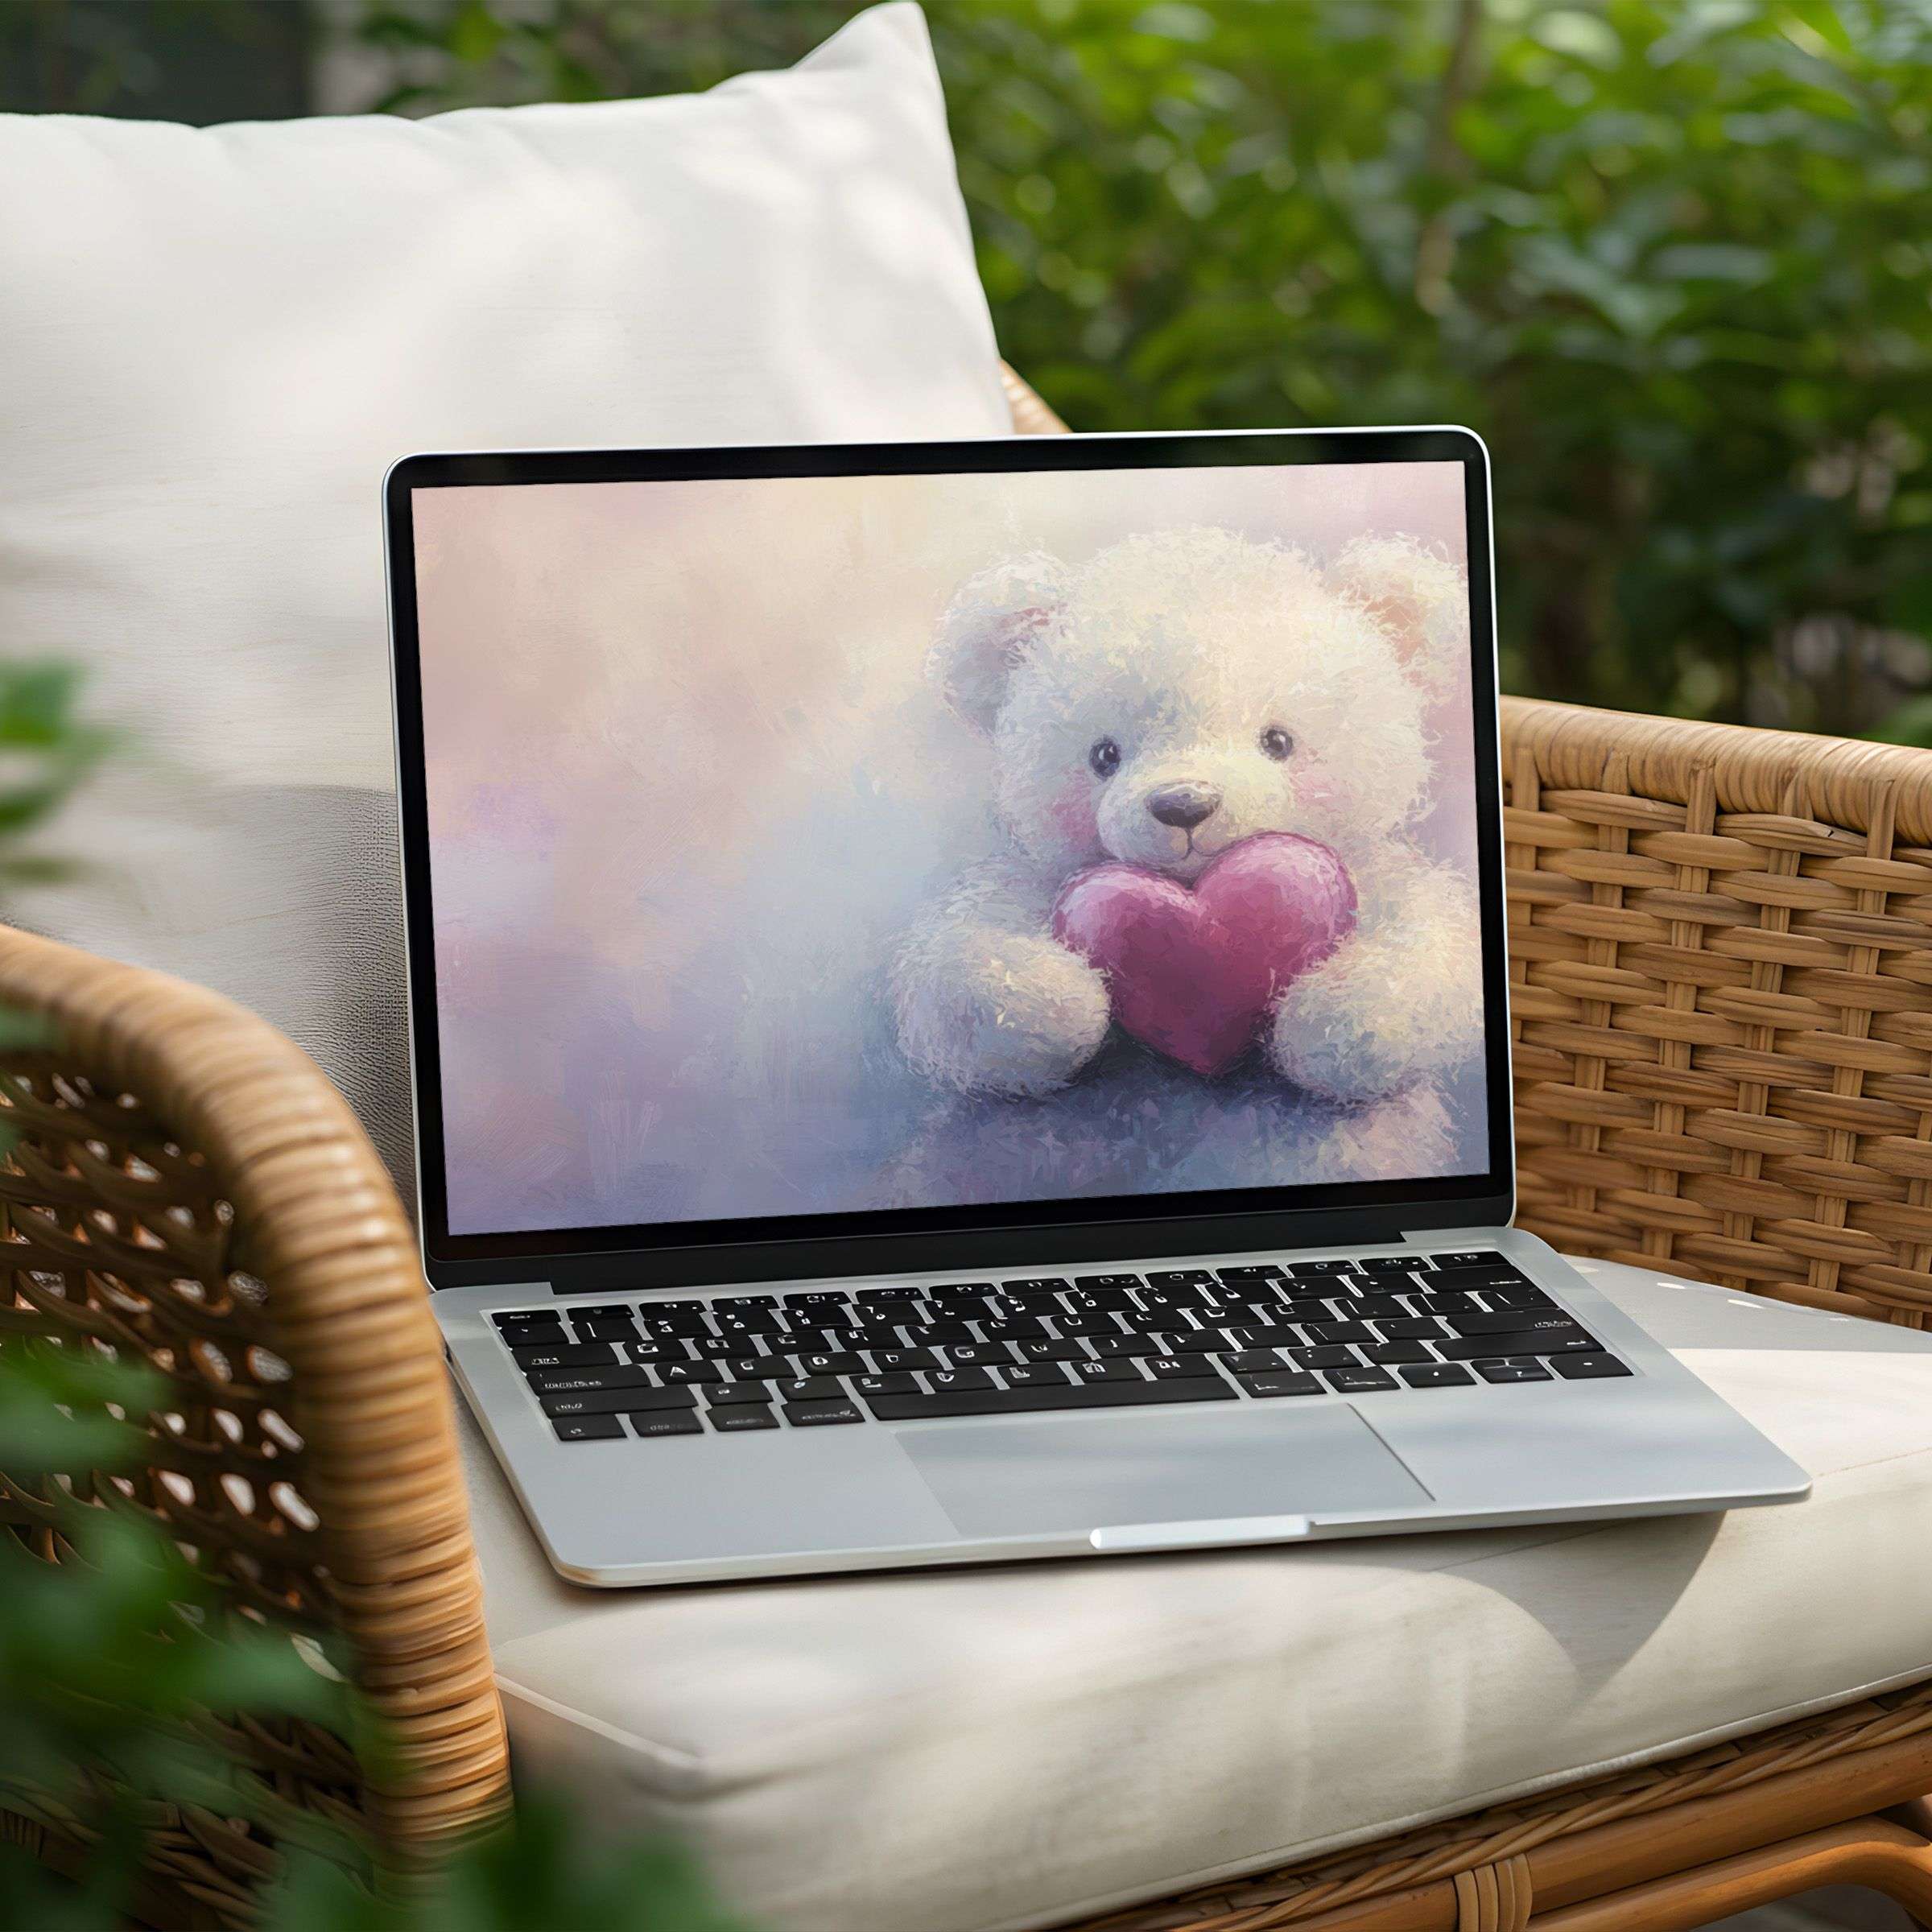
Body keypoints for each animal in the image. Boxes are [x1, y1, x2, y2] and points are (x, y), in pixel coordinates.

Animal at [888, 524, 1484, 1125]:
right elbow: (965, 953)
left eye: (1278, 742)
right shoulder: (1032, 883)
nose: (1184, 804)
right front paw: (1043, 1006)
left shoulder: (1383, 877)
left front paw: (1343, 1024)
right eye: (1105, 755)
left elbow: (1426, 946)